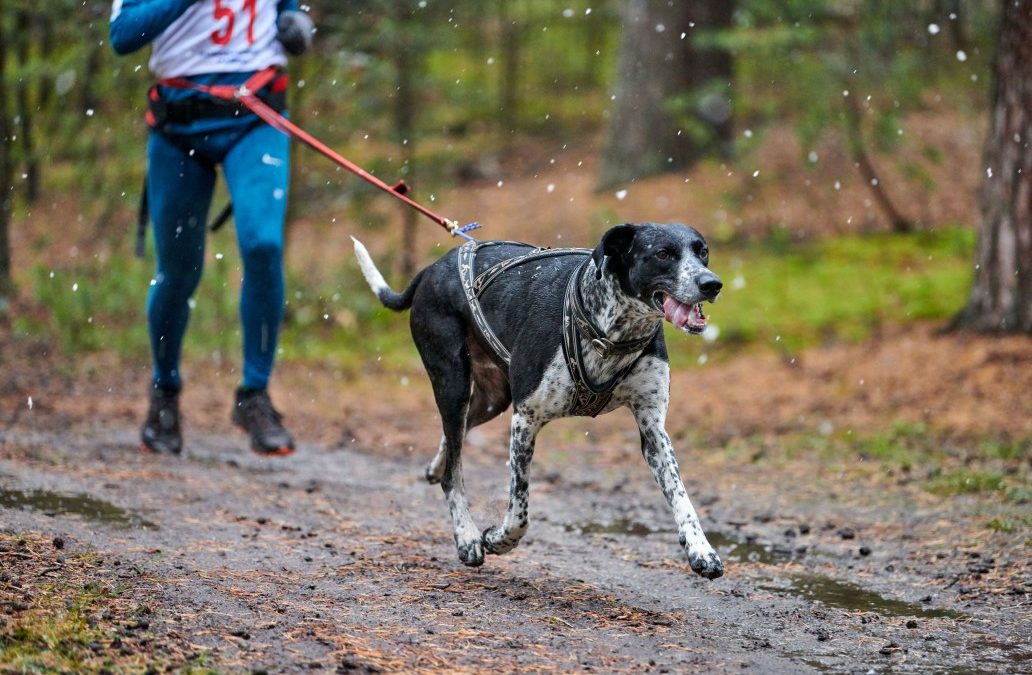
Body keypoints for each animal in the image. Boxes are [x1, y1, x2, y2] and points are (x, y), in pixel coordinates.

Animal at [355, 223, 726, 582]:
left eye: (703, 251)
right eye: (663, 253)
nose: (712, 284)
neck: (611, 334)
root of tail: (431, 269)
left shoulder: (653, 430)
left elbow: (682, 497)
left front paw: (701, 551)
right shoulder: (525, 420)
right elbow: (519, 511)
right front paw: (496, 540)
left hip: (492, 399)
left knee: (454, 437)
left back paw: (437, 466)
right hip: (453, 383)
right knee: (453, 473)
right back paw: (466, 536)